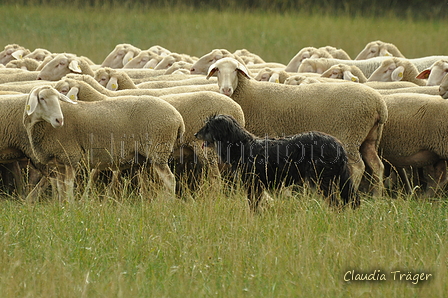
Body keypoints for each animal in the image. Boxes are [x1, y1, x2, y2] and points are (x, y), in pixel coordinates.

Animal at [23, 85, 185, 199]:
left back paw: (168, 204)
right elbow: (60, 187)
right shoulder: (58, 162)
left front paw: (70, 208)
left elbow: (68, 186)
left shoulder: (70, 156)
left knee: (170, 180)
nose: (59, 120)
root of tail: (178, 118)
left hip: (159, 148)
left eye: (58, 98)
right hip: (146, 158)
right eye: (41, 98)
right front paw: (62, 206)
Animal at [195, 113, 360, 211]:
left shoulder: (252, 183)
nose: (195, 134)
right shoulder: (257, 186)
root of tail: (337, 145)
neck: (243, 146)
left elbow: (253, 206)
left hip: (322, 179)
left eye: (208, 126)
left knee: (336, 204)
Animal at [206, 57, 388, 196]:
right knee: (377, 165)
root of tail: (379, 104)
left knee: (357, 166)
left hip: (351, 133)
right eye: (218, 71)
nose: (226, 89)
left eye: (235, 71)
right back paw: (377, 196)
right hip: (369, 137)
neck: (248, 93)